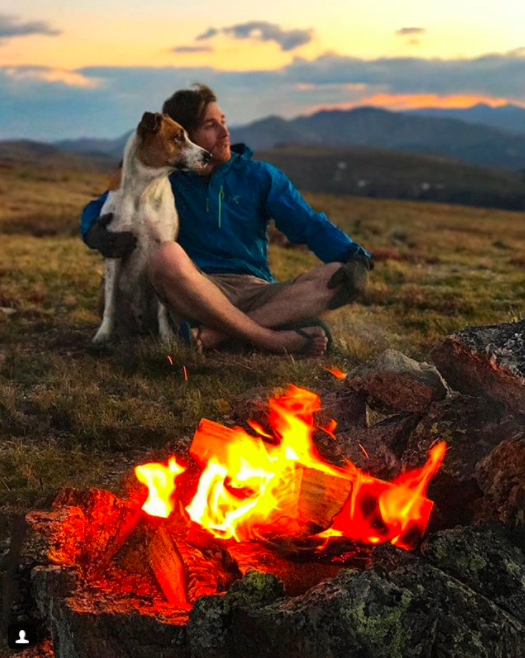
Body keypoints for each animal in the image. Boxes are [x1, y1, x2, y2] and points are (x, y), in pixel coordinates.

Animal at [92, 111, 211, 344]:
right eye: (178, 137)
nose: (208, 156)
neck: (145, 190)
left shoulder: (162, 246)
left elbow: (162, 311)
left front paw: (166, 337)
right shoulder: (115, 250)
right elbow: (110, 304)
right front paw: (103, 333)